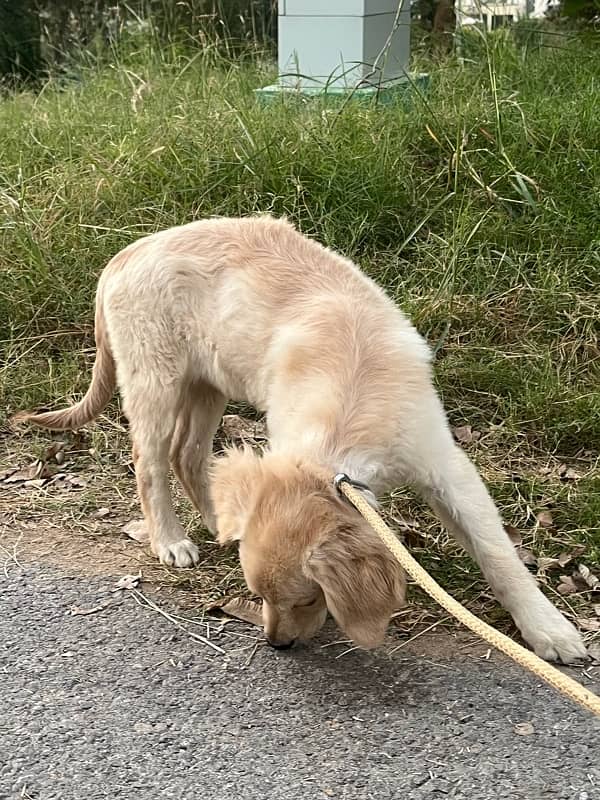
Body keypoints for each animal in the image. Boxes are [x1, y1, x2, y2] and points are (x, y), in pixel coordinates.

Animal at [17, 216, 584, 660]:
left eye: (309, 599)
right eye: (262, 597)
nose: (277, 645)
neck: (347, 413)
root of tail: (125, 254)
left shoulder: (447, 468)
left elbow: (498, 555)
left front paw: (548, 629)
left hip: (209, 382)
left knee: (187, 454)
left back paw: (218, 519)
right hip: (157, 378)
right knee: (150, 461)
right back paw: (171, 541)